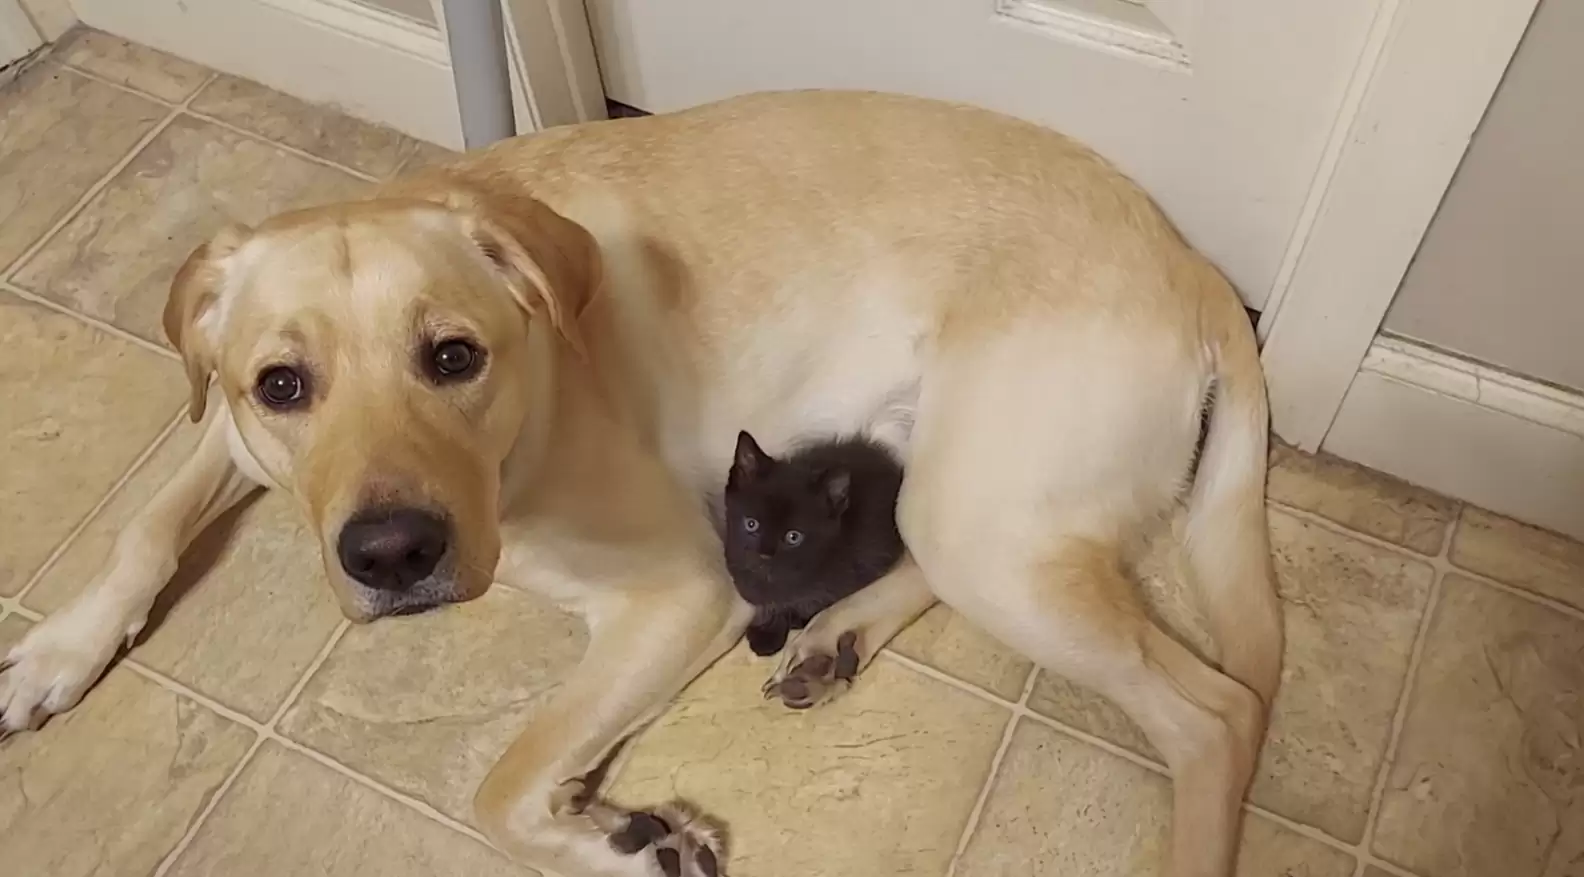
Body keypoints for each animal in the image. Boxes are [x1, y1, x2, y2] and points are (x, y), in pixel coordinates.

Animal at [722, 430, 906, 655]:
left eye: (793, 537)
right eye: (751, 524)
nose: (764, 554)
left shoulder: (861, 563)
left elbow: (812, 602)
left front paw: (782, 626)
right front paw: (767, 626)